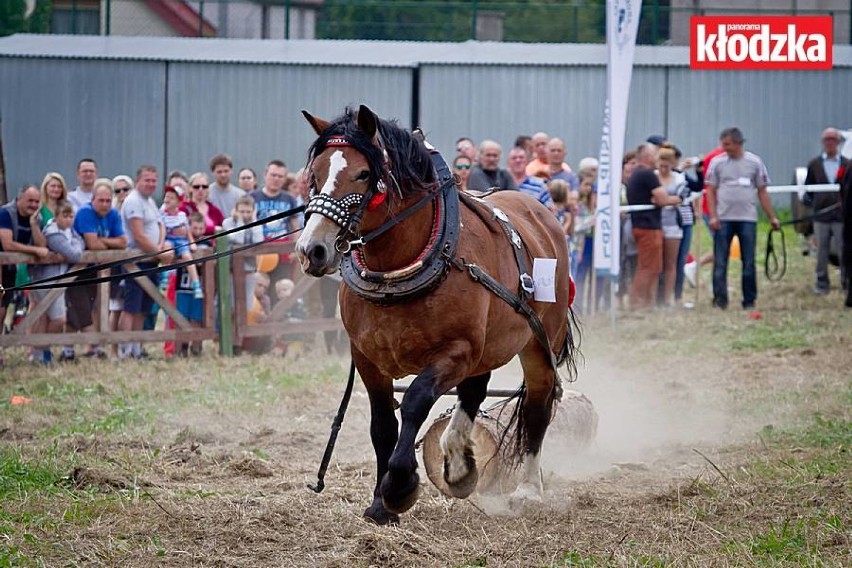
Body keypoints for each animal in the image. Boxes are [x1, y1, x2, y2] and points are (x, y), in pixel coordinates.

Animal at [294, 105, 580, 524]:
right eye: (314, 176)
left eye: (363, 174)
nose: (311, 250)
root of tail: (540, 210)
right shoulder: (366, 357)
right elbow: (383, 425)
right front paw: (380, 505)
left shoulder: (456, 352)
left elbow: (415, 400)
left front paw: (399, 486)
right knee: (475, 391)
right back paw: (460, 466)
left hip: (540, 342)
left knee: (537, 405)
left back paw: (528, 488)